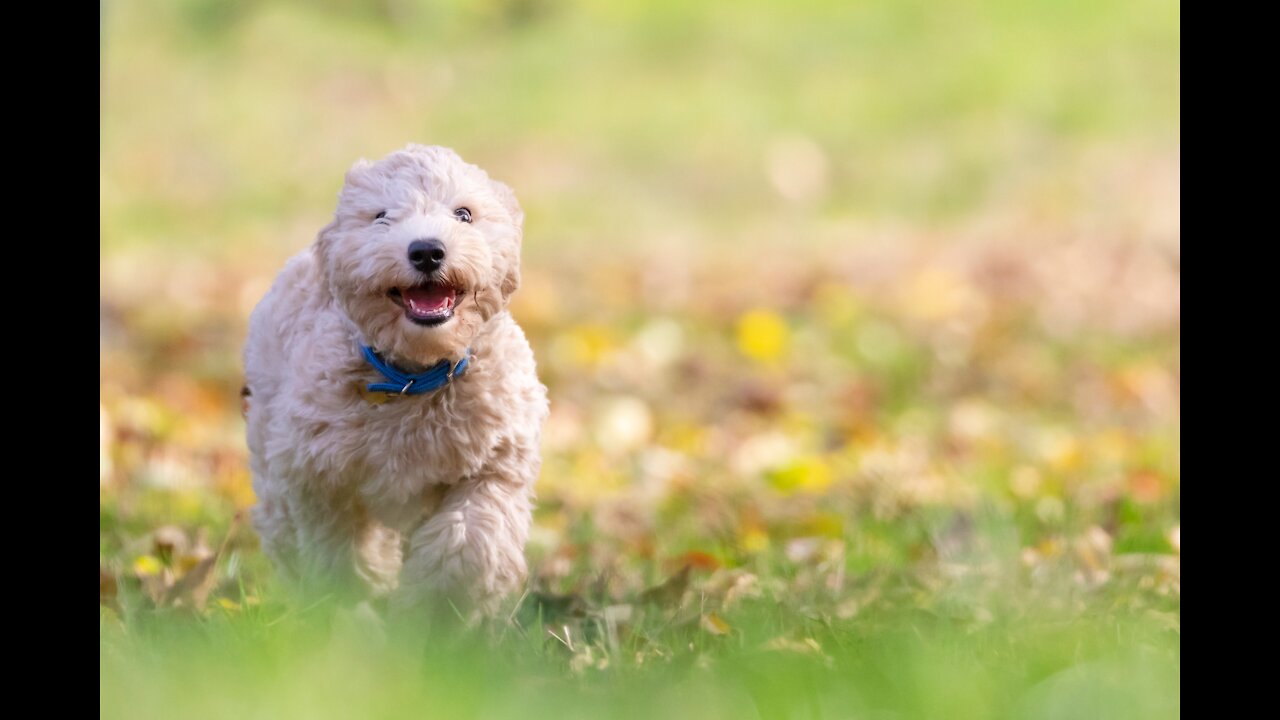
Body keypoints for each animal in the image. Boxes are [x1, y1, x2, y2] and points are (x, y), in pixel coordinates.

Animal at [244, 144, 550, 617]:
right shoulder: (318, 475)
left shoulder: (496, 463)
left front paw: (433, 613)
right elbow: (341, 551)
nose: (427, 251)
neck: (416, 376)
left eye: (463, 214)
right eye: (381, 216)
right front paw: (355, 608)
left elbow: (470, 541)